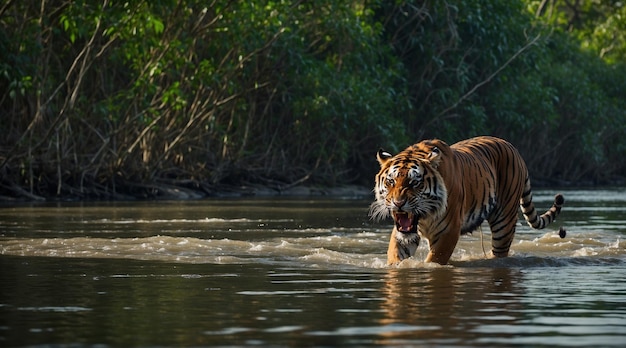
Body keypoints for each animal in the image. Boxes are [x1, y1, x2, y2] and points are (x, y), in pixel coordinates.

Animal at [368, 135, 564, 264]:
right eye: (391, 181)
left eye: (414, 182)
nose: (398, 203)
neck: (425, 217)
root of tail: (514, 149)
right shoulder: (402, 233)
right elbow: (395, 256)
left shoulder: (448, 231)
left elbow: (434, 260)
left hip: (504, 222)